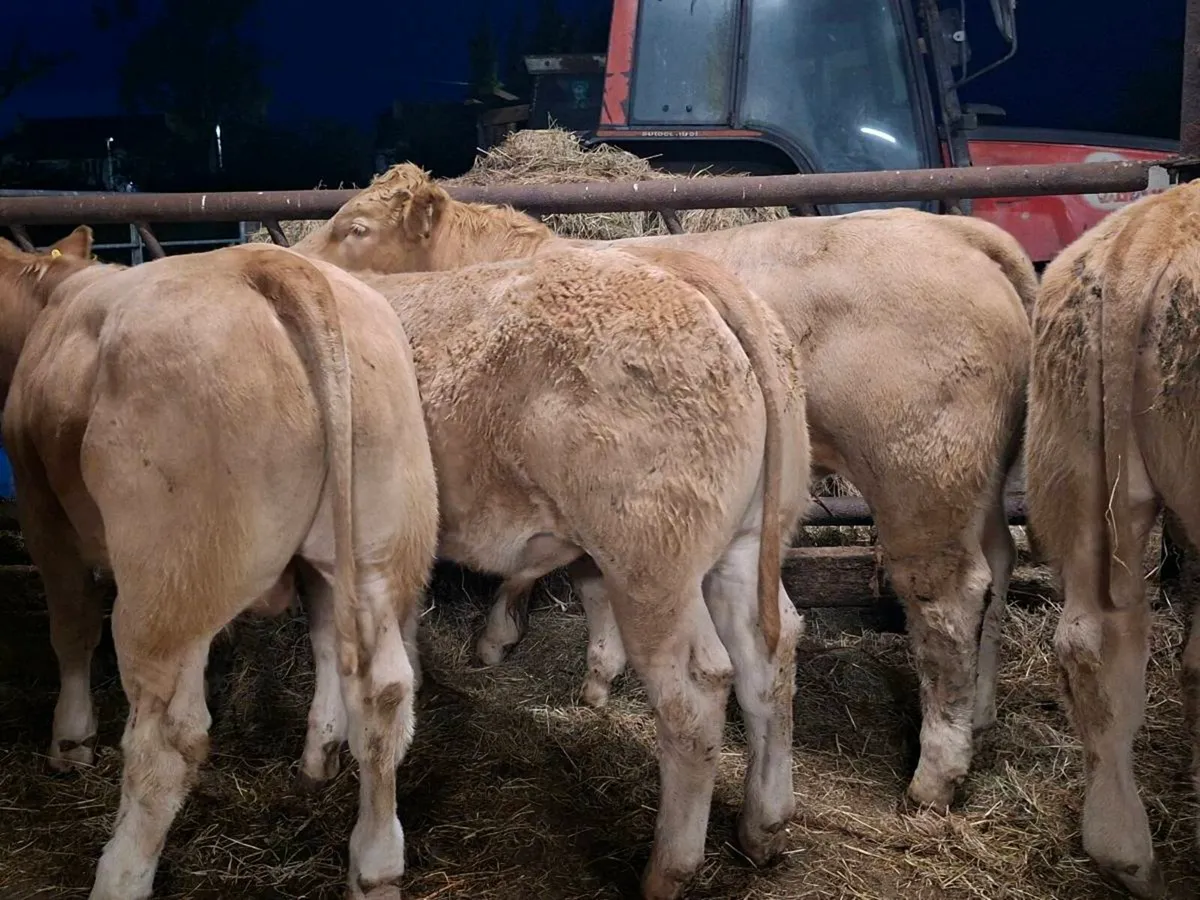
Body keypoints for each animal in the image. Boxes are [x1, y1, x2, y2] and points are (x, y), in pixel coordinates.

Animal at [0, 230, 439, 900]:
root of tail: (269, 261)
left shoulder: (40, 509)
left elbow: (71, 630)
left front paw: (70, 741)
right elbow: (324, 645)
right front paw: (320, 751)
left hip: (167, 588)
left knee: (169, 740)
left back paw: (119, 875)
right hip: (375, 554)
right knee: (385, 693)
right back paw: (376, 862)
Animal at [282, 236, 810, 898]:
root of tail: (692, 278)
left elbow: (328, 645)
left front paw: (318, 752)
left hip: (651, 561)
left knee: (696, 694)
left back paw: (667, 868)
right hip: (748, 540)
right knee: (771, 654)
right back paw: (764, 825)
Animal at [291, 163, 1035, 813]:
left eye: (355, 228)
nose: (296, 262)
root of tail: (962, 234)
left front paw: (525, 644)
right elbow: (582, 576)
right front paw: (569, 659)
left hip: (922, 479)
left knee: (944, 601)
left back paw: (936, 771)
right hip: (978, 483)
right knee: (996, 570)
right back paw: (982, 713)